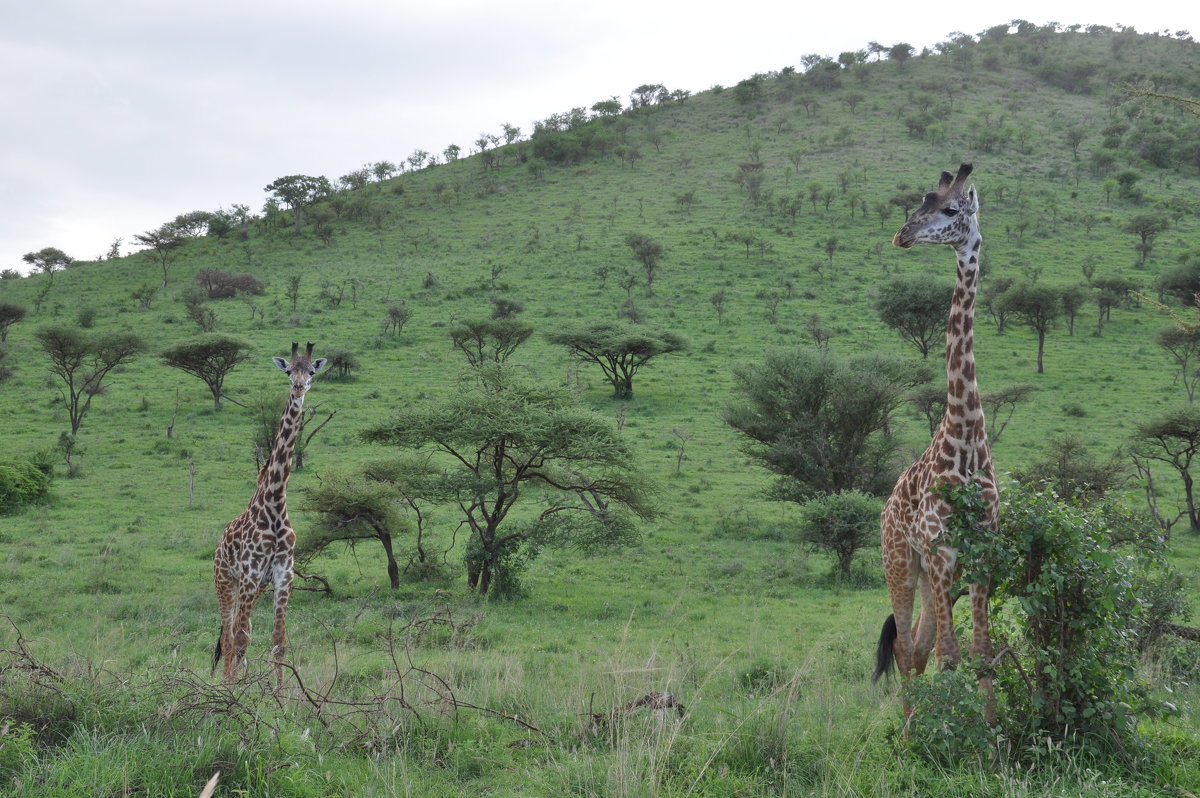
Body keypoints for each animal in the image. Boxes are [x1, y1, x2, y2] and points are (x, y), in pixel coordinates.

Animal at [211, 338, 324, 681]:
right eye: (288, 370)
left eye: (311, 371)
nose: (299, 388)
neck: (274, 502)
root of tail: (218, 545)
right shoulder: (249, 574)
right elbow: (240, 639)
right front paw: (234, 694)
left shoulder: (282, 576)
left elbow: (278, 643)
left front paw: (280, 695)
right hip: (225, 580)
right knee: (228, 635)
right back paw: (226, 685)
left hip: (255, 587)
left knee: (237, 629)